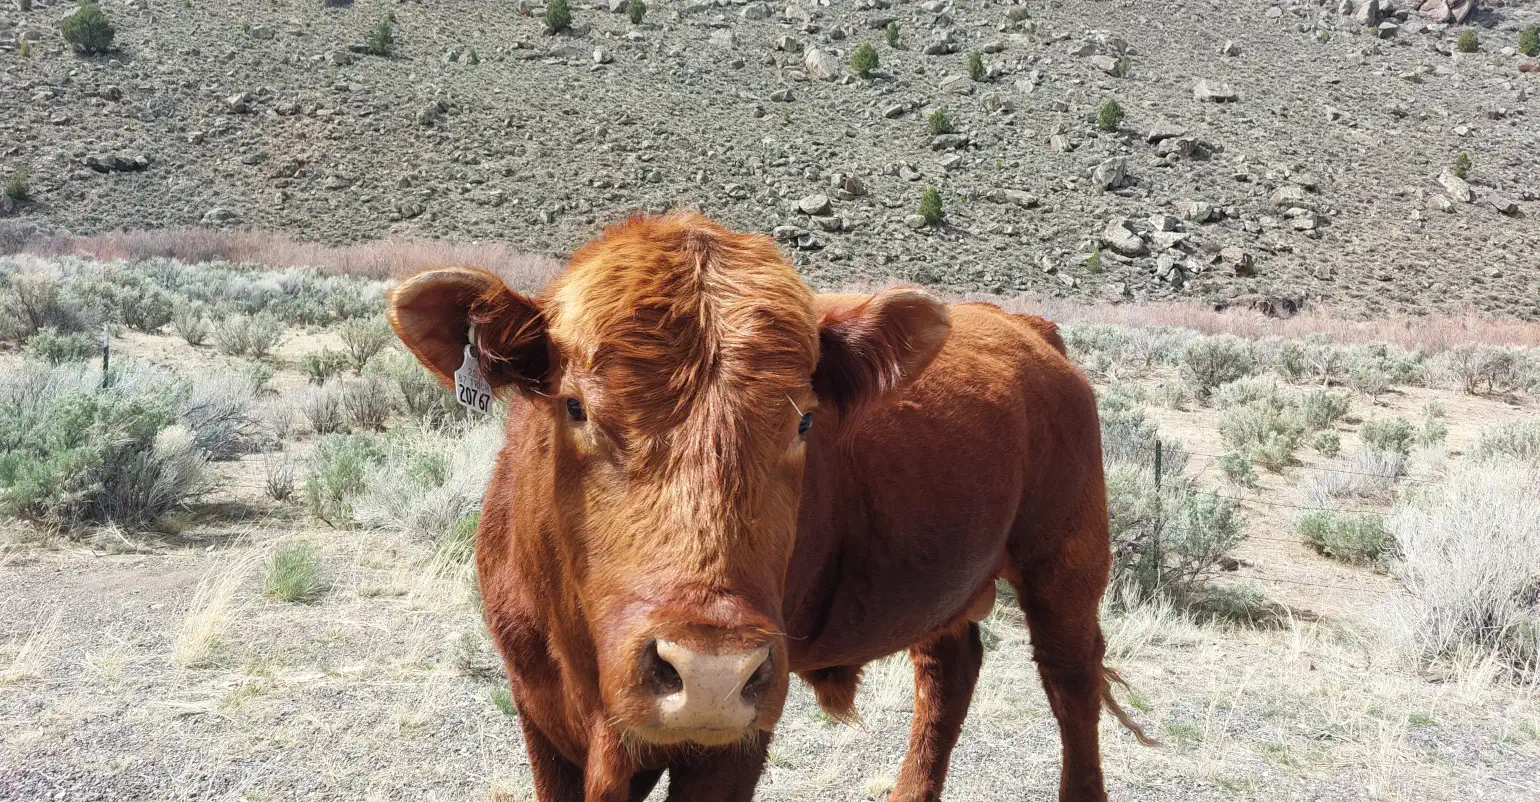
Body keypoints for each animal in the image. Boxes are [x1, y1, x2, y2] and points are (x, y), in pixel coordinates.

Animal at [391, 209, 1151, 794]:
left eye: (804, 421)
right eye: (574, 406)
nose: (710, 674)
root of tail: (1028, 330)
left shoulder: (731, 741)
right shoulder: (541, 717)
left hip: (1066, 565)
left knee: (1071, 685)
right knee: (948, 672)